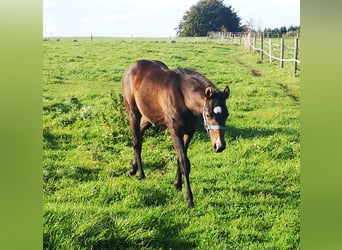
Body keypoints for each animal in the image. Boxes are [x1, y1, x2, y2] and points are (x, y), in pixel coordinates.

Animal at [120, 59, 230, 208]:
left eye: (226, 115)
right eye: (208, 115)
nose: (219, 146)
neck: (183, 98)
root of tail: (131, 67)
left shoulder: (189, 132)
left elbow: (181, 159)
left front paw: (177, 184)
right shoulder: (175, 132)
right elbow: (184, 162)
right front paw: (189, 199)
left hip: (149, 118)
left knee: (138, 137)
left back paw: (133, 169)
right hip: (133, 113)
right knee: (136, 140)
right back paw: (141, 174)